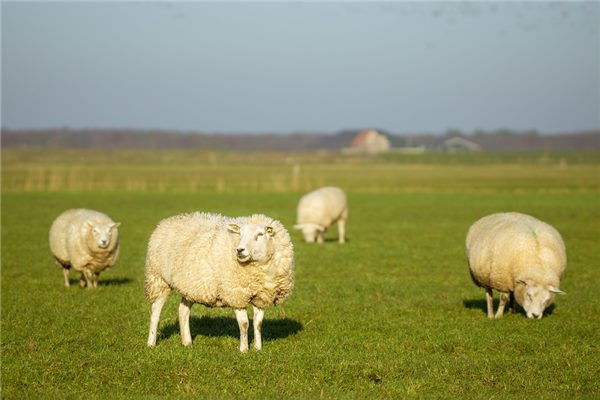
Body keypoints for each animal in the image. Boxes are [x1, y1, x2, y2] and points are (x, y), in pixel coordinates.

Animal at [145, 211, 296, 352]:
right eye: (240, 234)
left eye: (260, 234)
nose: (239, 250)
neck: (260, 268)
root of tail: (168, 220)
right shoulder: (236, 294)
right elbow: (244, 324)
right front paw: (244, 350)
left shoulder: (262, 297)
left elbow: (258, 324)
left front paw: (258, 348)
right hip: (158, 278)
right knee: (155, 311)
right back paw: (151, 342)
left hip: (191, 285)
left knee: (183, 310)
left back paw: (187, 342)